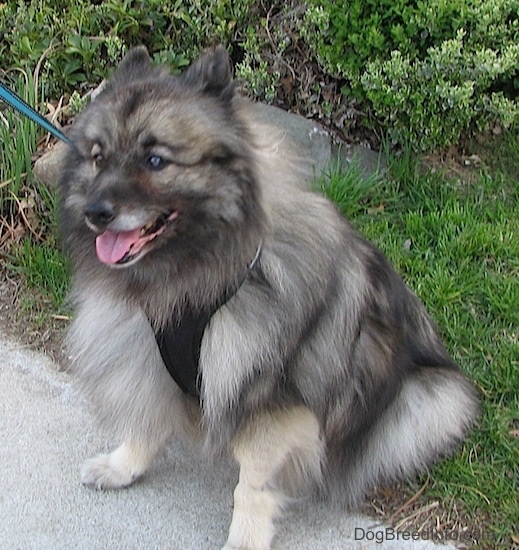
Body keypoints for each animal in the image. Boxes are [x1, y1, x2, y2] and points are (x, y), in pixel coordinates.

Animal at [60, 45, 480, 548]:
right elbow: (145, 421)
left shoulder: (269, 402)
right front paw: (124, 467)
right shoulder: (149, 355)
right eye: (98, 158)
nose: (96, 212)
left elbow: (252, 487)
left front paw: (245, 539)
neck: (198, 276)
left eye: (156, 160)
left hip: (434, 399)